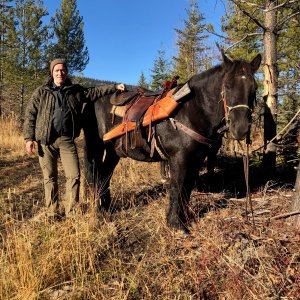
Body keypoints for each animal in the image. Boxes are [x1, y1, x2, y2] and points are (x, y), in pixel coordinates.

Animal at [81, 51, 260, 232]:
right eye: (227, 86)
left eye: (254, 88)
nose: (241, 128)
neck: (191, 110)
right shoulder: (178, 159)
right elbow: (177, 188)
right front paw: (175, 223)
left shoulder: (196, 159)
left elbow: (187, 188)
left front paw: (185, 218)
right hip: (97, 146)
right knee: (97, 175)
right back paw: (100, 209)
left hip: (114, 151)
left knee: (105, 175)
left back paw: (106, 207)